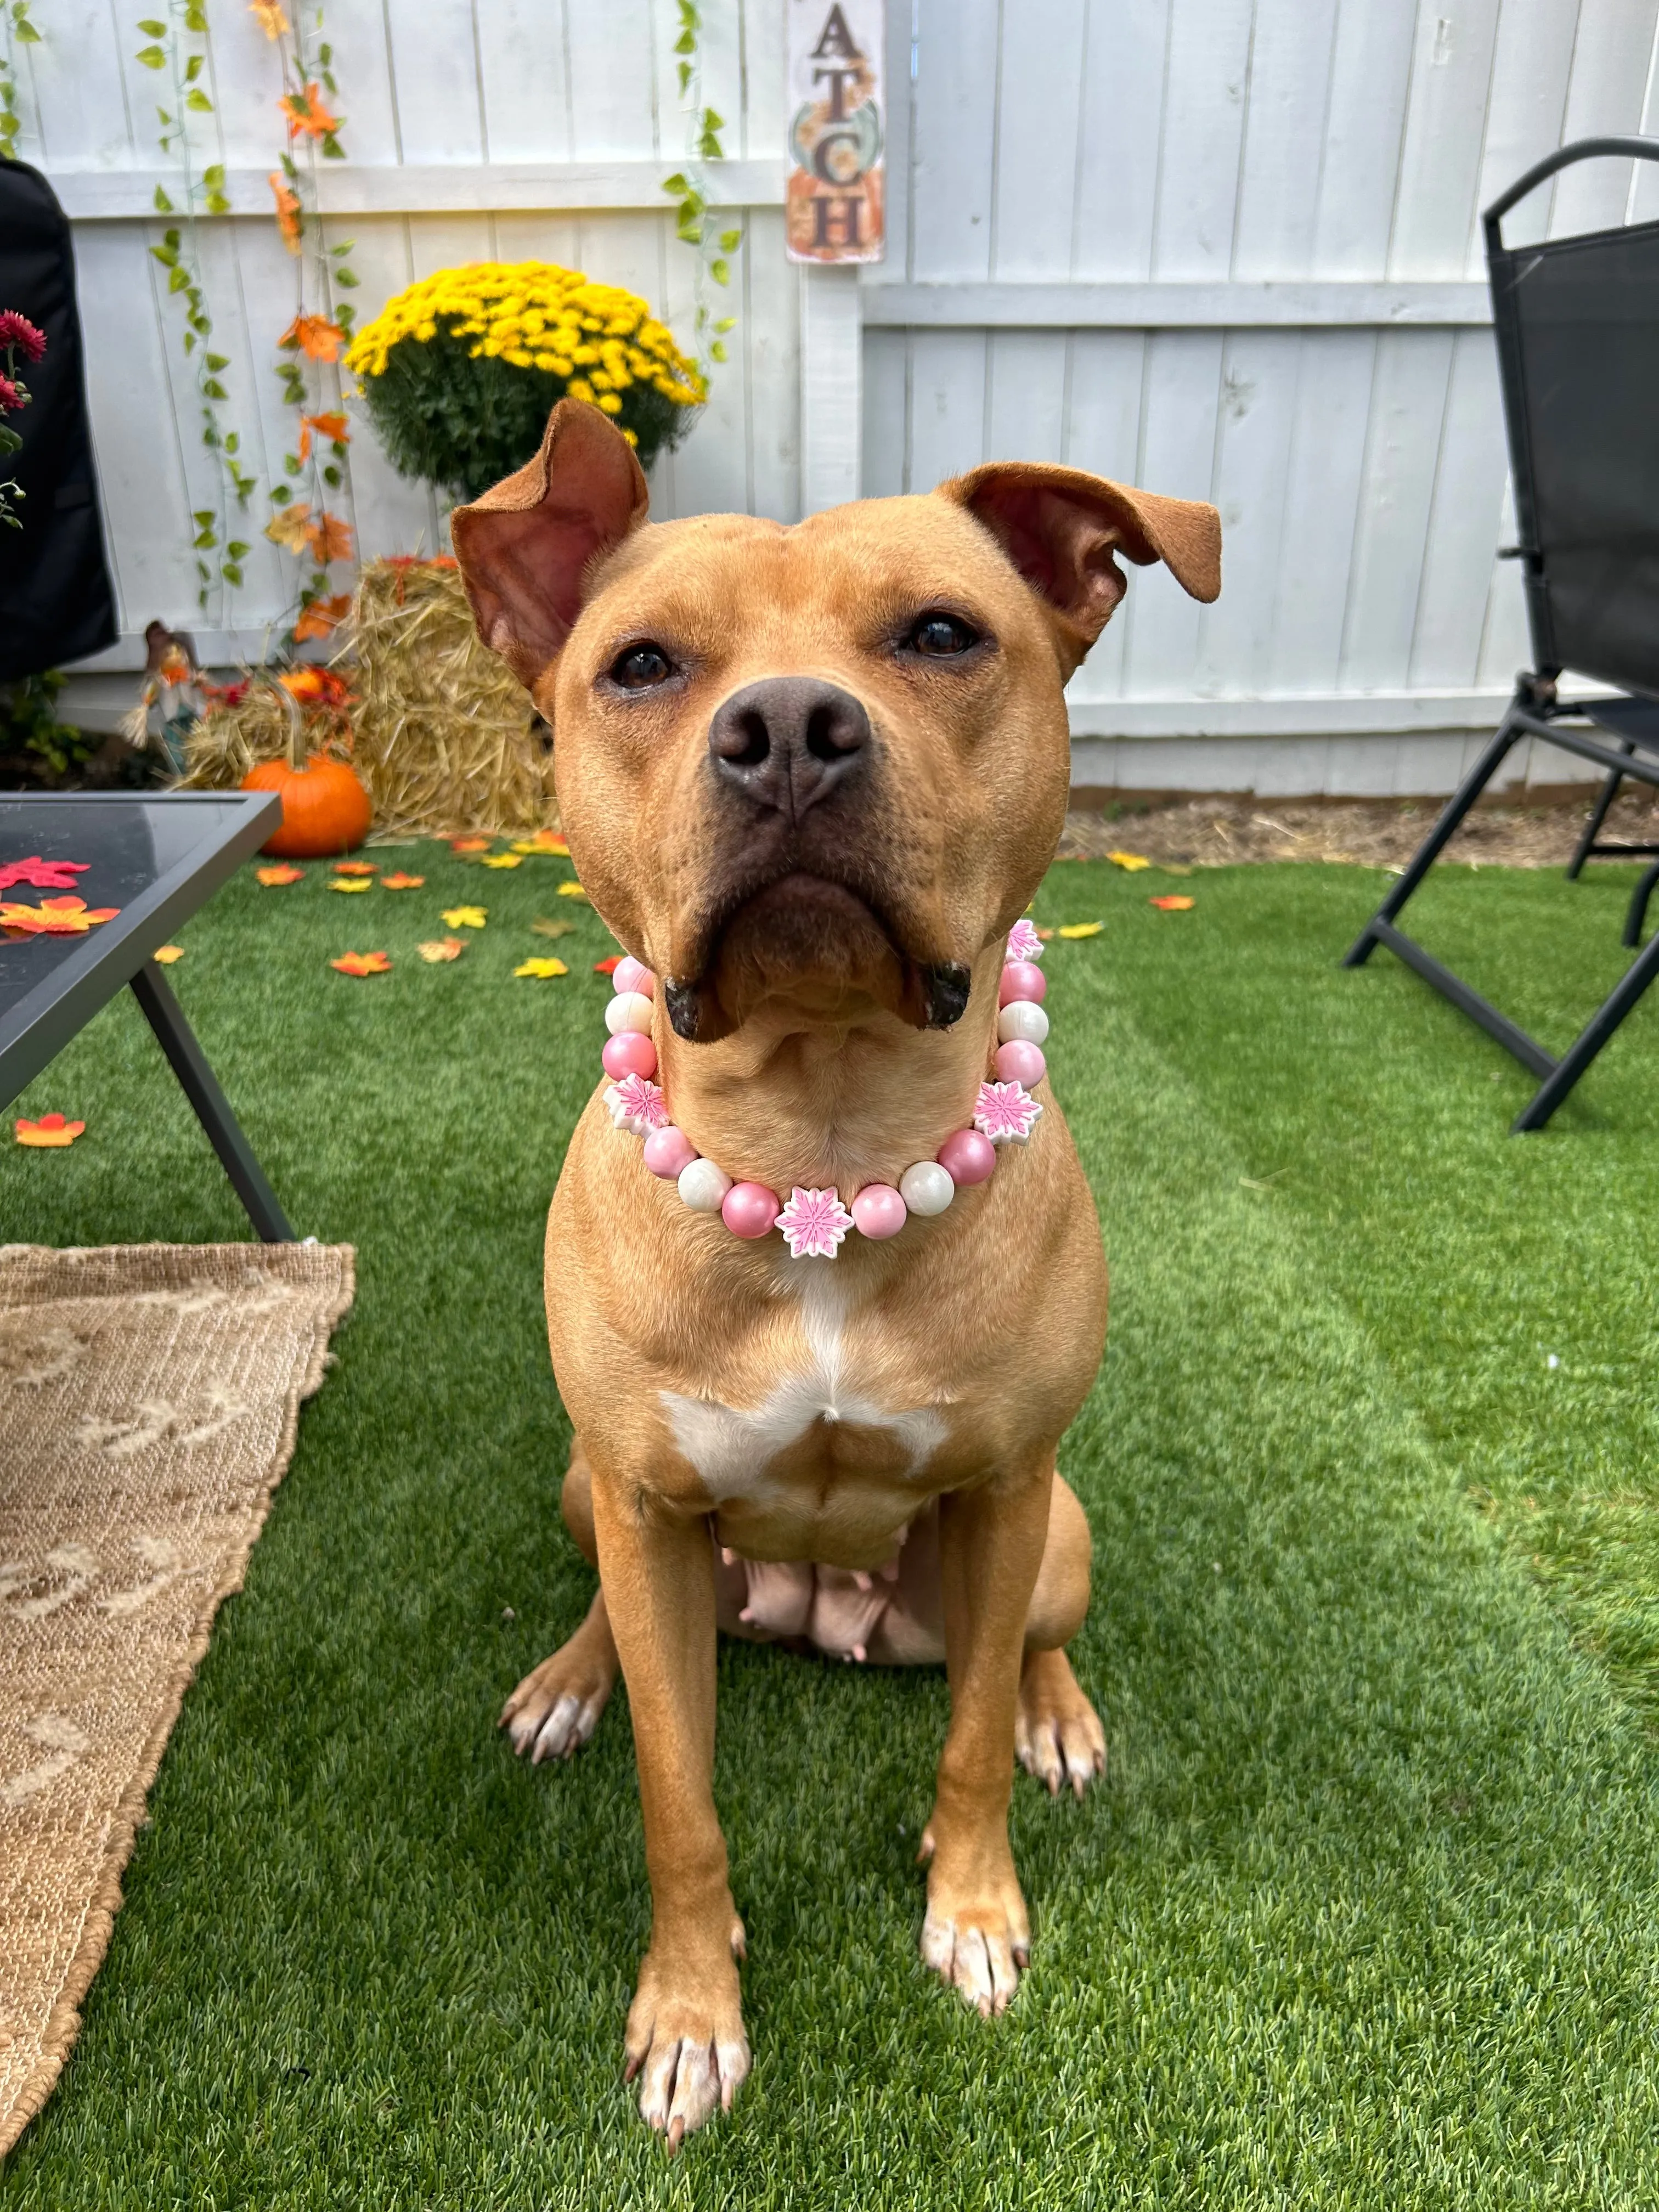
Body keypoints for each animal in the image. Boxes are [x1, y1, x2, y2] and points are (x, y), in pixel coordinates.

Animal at [455, 407, 1221, 2150]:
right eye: (644, 665)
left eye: (942, 635)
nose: (790, 728)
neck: (819, 1144)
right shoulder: (645, 1501)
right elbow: (678, 1803)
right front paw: (692, 2012)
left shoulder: (1004, 1493)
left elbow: (968, 1754)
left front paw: (975, 1910)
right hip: (589, 1494)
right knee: (612, 1608)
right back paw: (567, 1680)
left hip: (1056, 1531)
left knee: (1024, 1649)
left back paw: (1060, 1713)